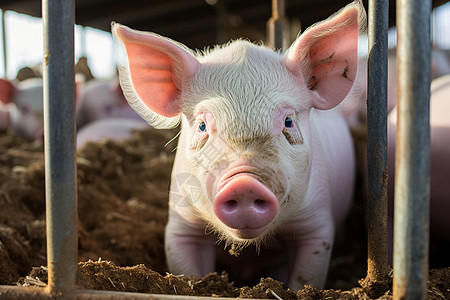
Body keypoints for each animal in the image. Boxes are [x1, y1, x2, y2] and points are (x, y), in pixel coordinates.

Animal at [111, 0, 366, 290]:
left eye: (288, 122)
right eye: (202, 126)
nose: (245, 182)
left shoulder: (317, 224)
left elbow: (305, 277)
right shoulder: (181, 224)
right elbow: (189, 270)